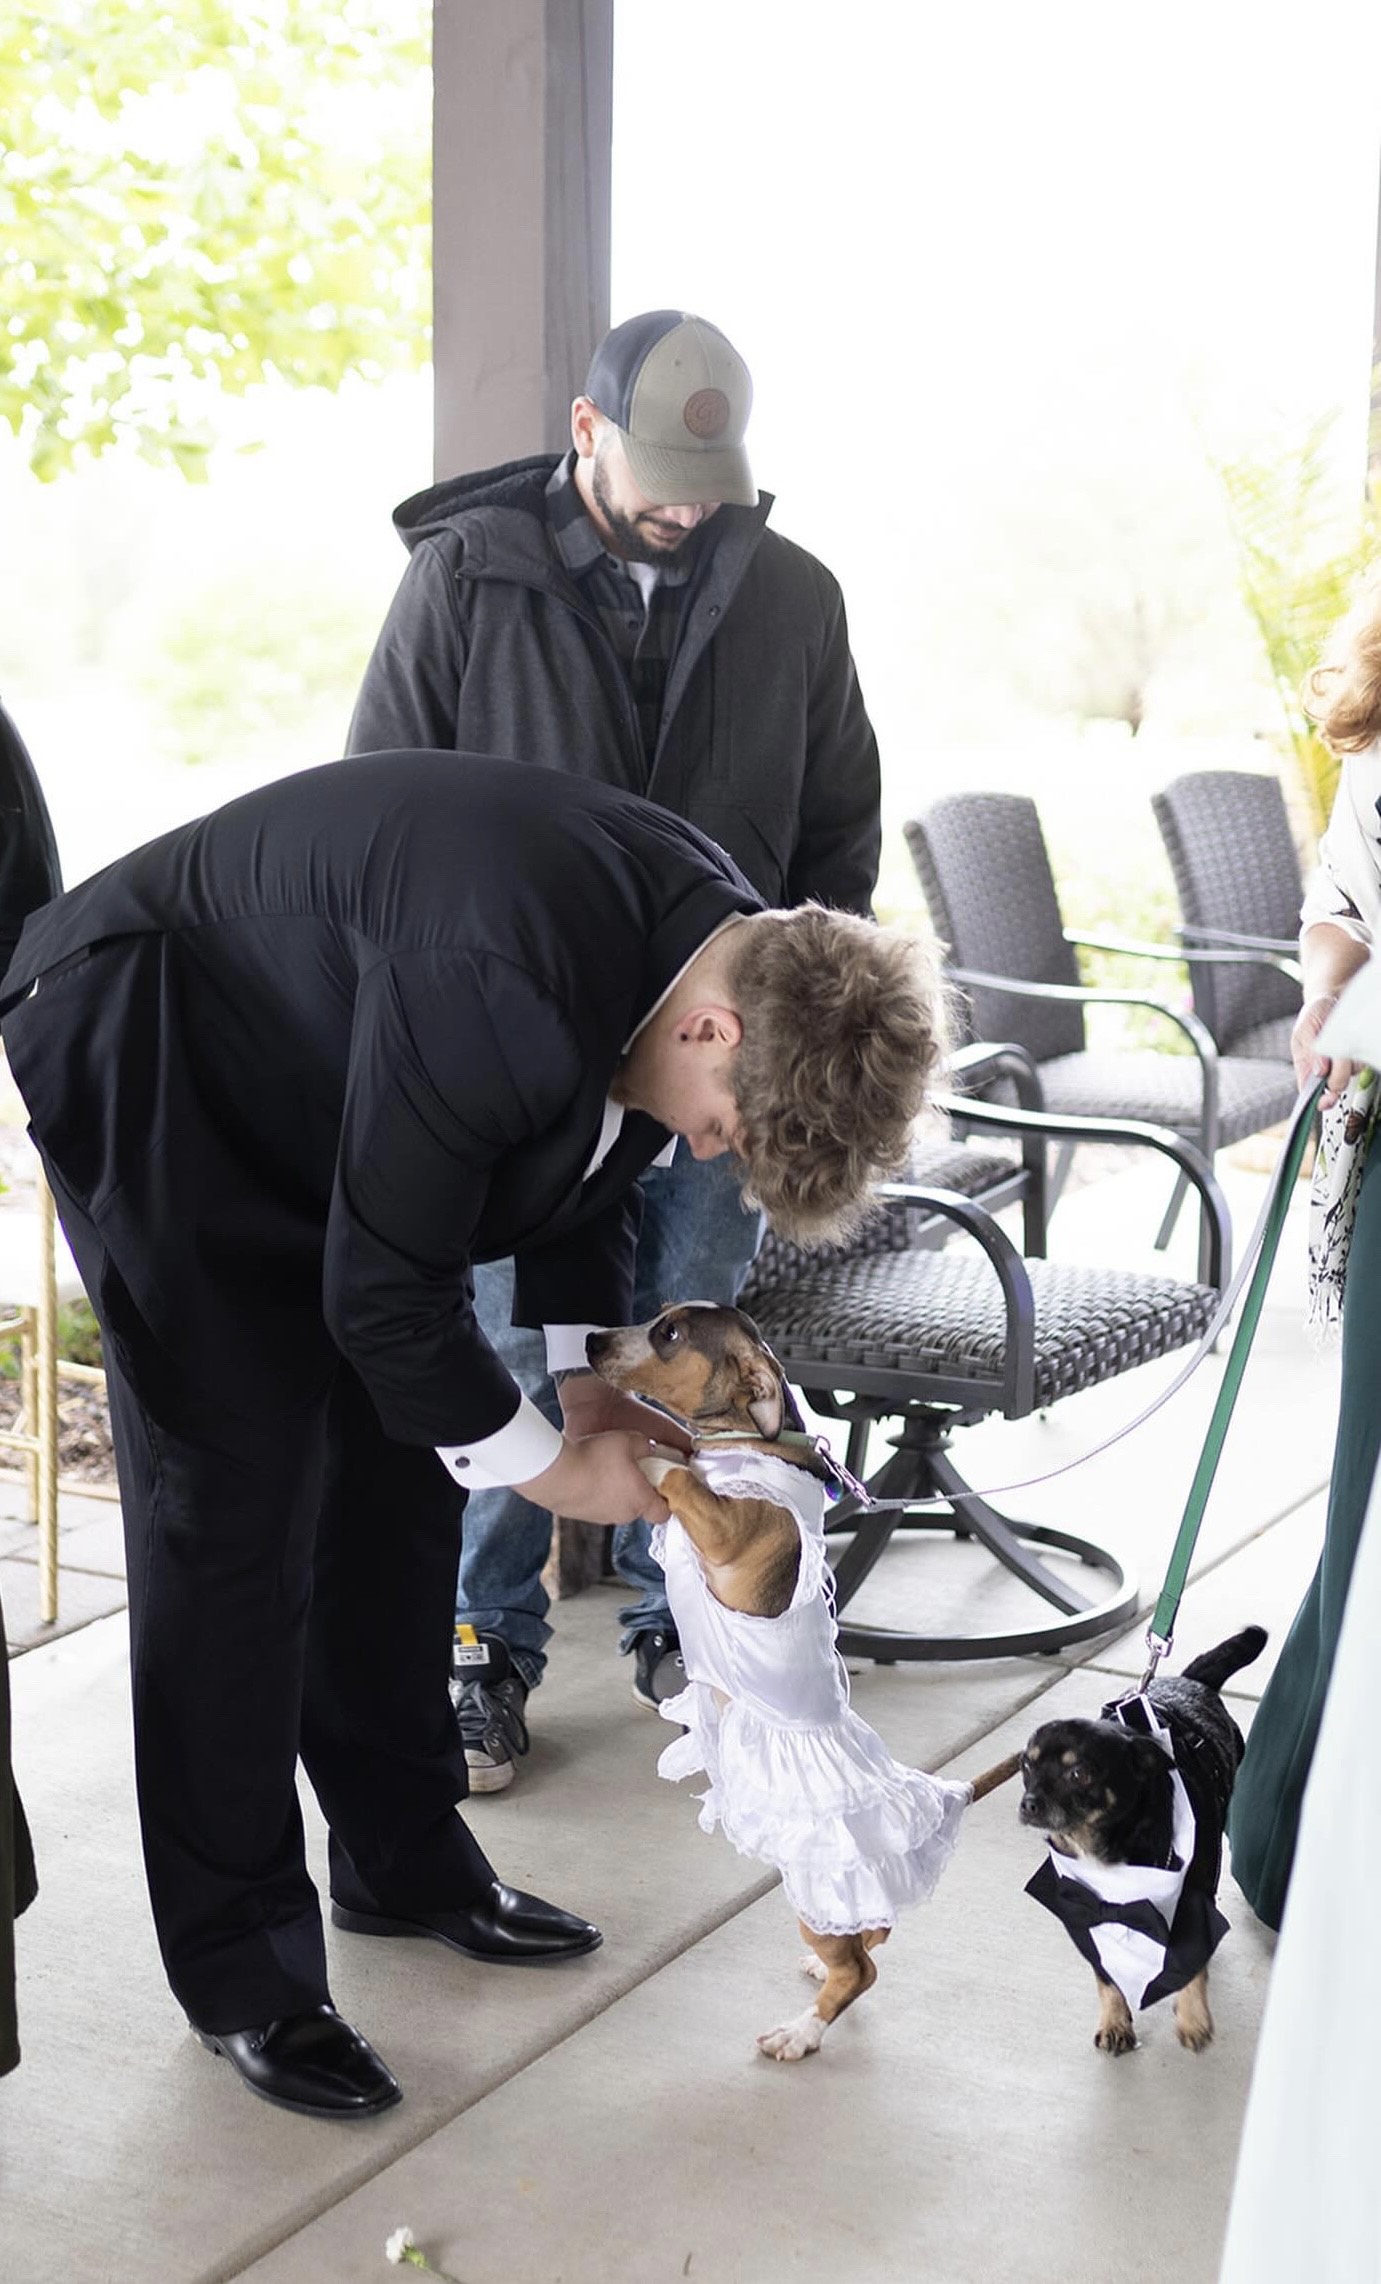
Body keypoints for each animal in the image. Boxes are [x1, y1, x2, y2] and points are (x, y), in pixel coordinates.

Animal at [587, 1301, 1017, 2061]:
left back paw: (802, 2030)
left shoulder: (725, 1526)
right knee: (872, 1935)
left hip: (820, 1897)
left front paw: (646, 1454)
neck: (747, 1442)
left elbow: (676, 1475)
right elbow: (680, 1468)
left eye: (669, 1334)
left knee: (862, 1971)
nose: (587, 1340)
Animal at [1017, 1625, 1267, 2055]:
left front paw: (1193, 2018)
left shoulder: (1188, 1903)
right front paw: (1115, 2022)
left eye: (1080, 1773)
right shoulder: (1085, 1911)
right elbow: (1105, 1975)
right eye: (1025, 1765)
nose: (1029, 1804)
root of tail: (1190, 1680)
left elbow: (1191, 1964)